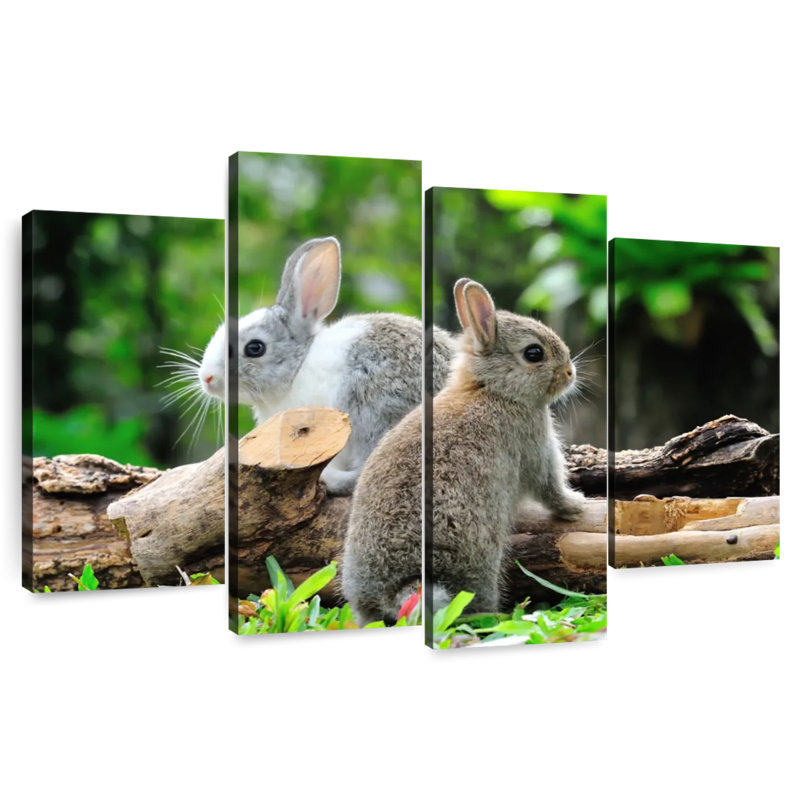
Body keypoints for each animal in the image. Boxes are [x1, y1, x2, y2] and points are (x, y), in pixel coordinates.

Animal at [341, 277, 584, 626]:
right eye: (534, 353)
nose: (569, 373)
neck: (492, 389)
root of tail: (395, 590)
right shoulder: (535, 446)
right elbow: (550, 488)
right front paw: (576, 506)